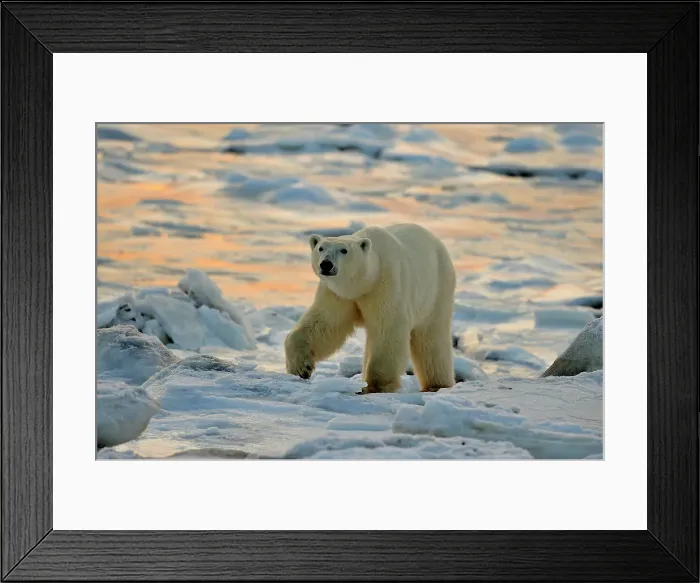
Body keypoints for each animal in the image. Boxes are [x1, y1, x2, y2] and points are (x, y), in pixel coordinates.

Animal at [285, 223, 456, 393]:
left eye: (344, 250)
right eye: (321, 248)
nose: (326, 264)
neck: (364, 283)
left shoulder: (385, 285)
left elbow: (388, 327)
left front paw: (377, 385)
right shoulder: (338, 295)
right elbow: (325, 324)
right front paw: (301, 368)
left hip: (436, 289)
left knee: (431, 338)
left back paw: (436, 384)